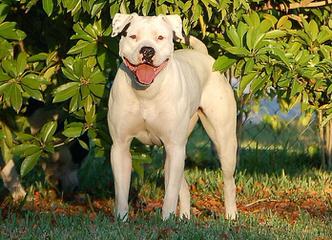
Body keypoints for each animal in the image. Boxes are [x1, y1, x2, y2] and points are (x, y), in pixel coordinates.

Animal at [107, 12, 237, 219]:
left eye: (160, 37)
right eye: (133, 36)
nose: (147, 51)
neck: (146, 93)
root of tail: (203, 54)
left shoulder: (175, 146)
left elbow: (169, 194)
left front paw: (166, 220)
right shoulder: (120, 146)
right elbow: (121, 192)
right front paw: (121, 220)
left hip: (223, 141)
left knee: (228, 181)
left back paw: (231, 216)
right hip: (173, 150)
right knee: (182, 186)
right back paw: (184, 217)